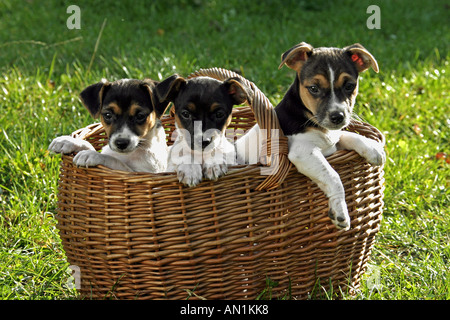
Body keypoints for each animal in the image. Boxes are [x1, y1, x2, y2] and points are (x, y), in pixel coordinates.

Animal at [234, 43, 384, 231]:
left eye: (349, 86)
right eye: (314, 88)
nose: (338, 116)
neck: (311, 119)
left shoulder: (332, 144)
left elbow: (348, 135)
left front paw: (373, 149)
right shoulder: (303, 152)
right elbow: (333, 176)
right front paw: (340, 211)